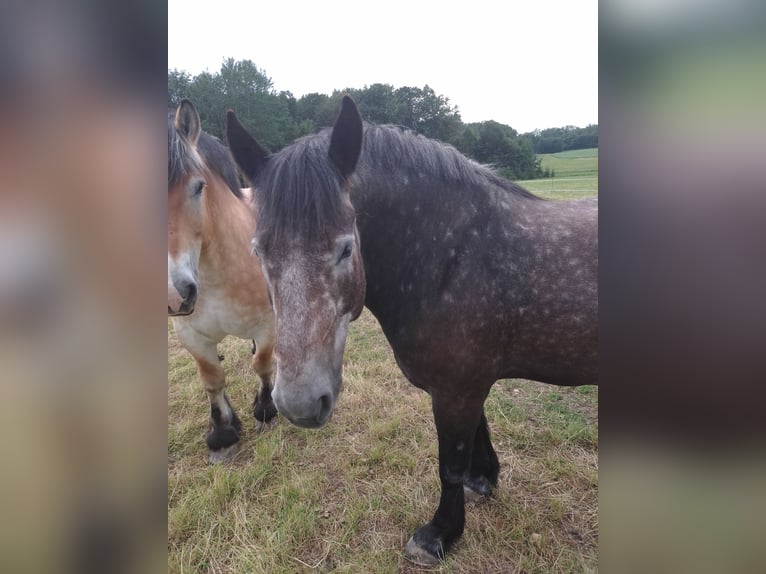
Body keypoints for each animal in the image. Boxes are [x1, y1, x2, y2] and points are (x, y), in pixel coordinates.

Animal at [168, 100, 280, 464]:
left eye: (198, 186)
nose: (174, 294)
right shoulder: (190, 333)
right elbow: (212, 378)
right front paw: (222, 433)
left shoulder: (267, 323)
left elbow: (262, 364)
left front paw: (265, 410)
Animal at [225, 97, 596, 564]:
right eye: (259, 251)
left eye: (346, 248)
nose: (299, 404)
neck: (452, 258)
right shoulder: (466, 384)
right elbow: (477, 436)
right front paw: (483, 480)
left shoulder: (457, 388)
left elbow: (450, 463)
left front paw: (440, 534)